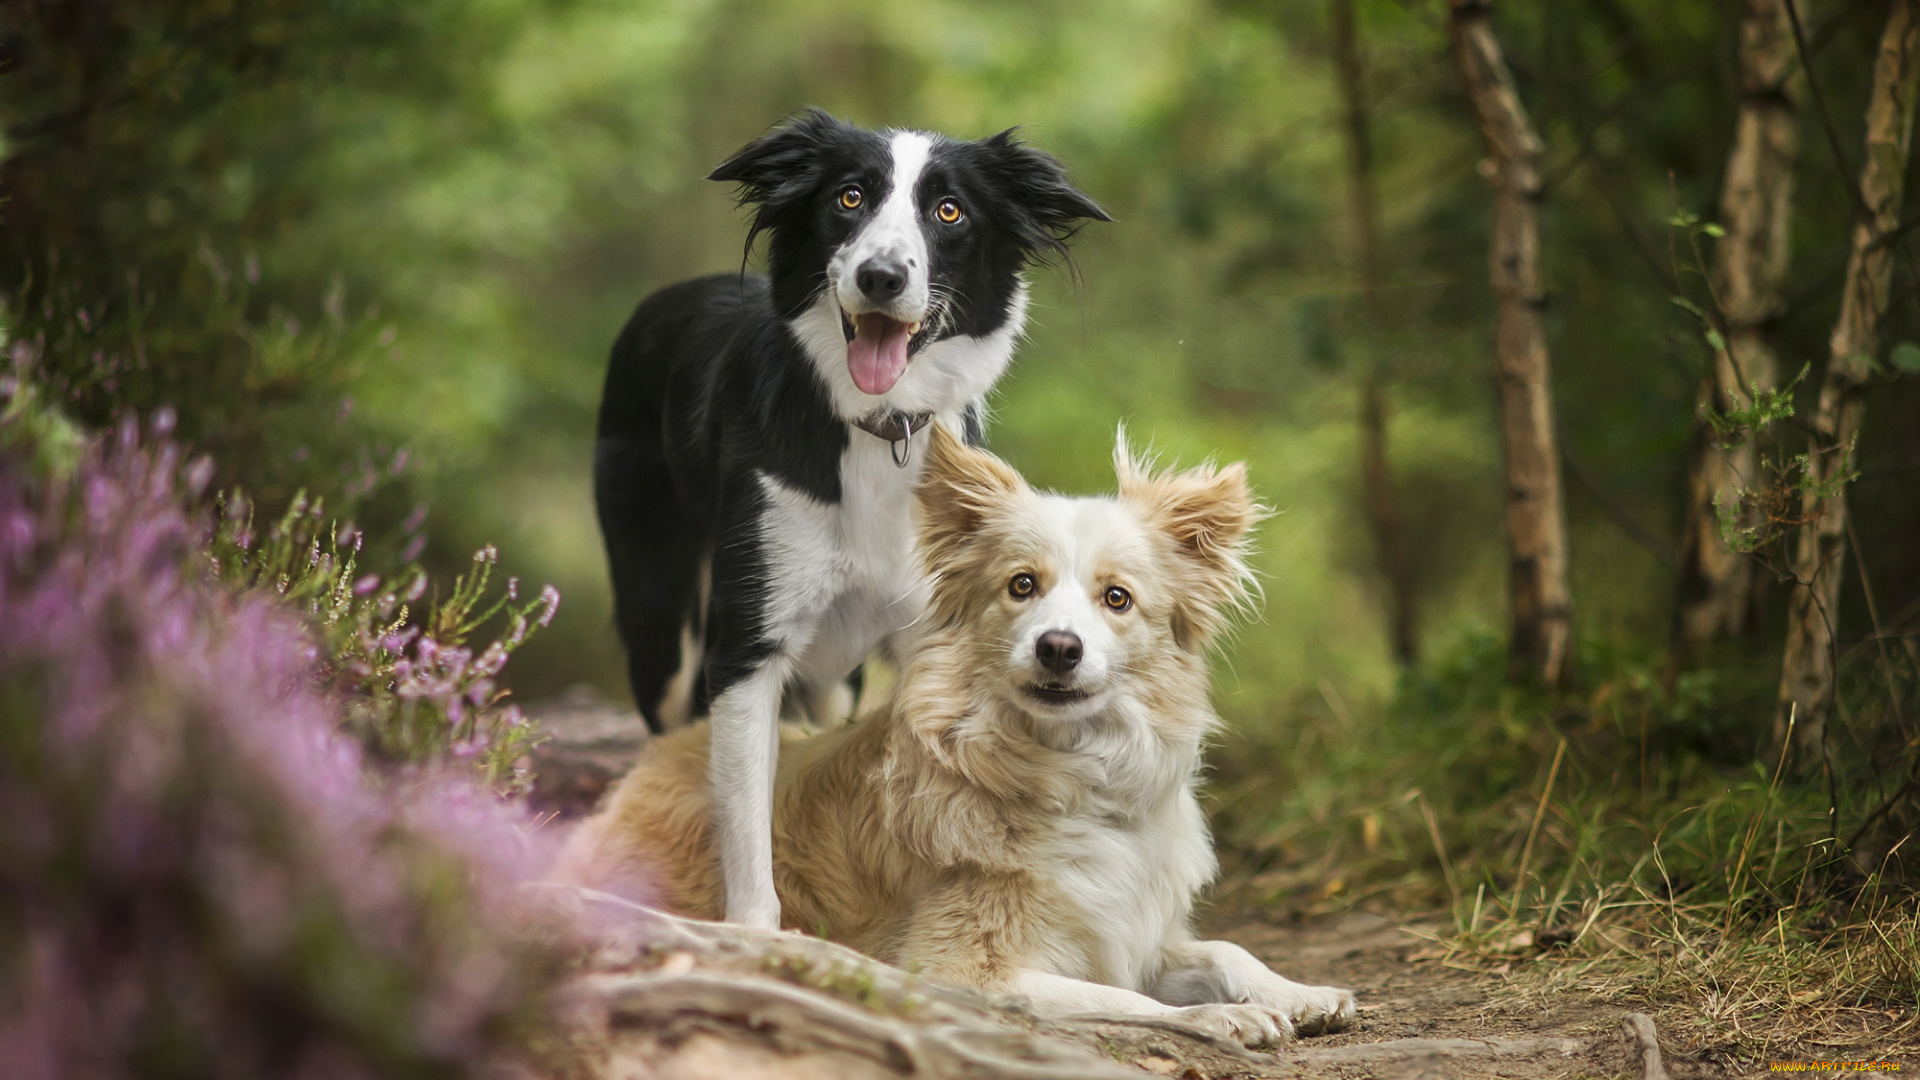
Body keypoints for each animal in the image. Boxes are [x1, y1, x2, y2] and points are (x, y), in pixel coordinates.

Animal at [560, 422, 1359, 1045]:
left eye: (1117, 599)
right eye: (1021, 586)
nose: (1059, 648)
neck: (1072, 780)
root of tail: (658, 758)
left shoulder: (1131, 931)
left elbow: (1222, 948)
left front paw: (1299, 993)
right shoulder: (960, 970)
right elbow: (1122, 996)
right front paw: (1221, 1019)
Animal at [599, 111, 1113, 926]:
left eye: (949, 210)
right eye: (849, 196)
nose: (881, 277)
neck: (880, 427)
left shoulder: (924, 634)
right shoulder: (748, 649)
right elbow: (747, 828)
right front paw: (756, 936)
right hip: (659, 617)